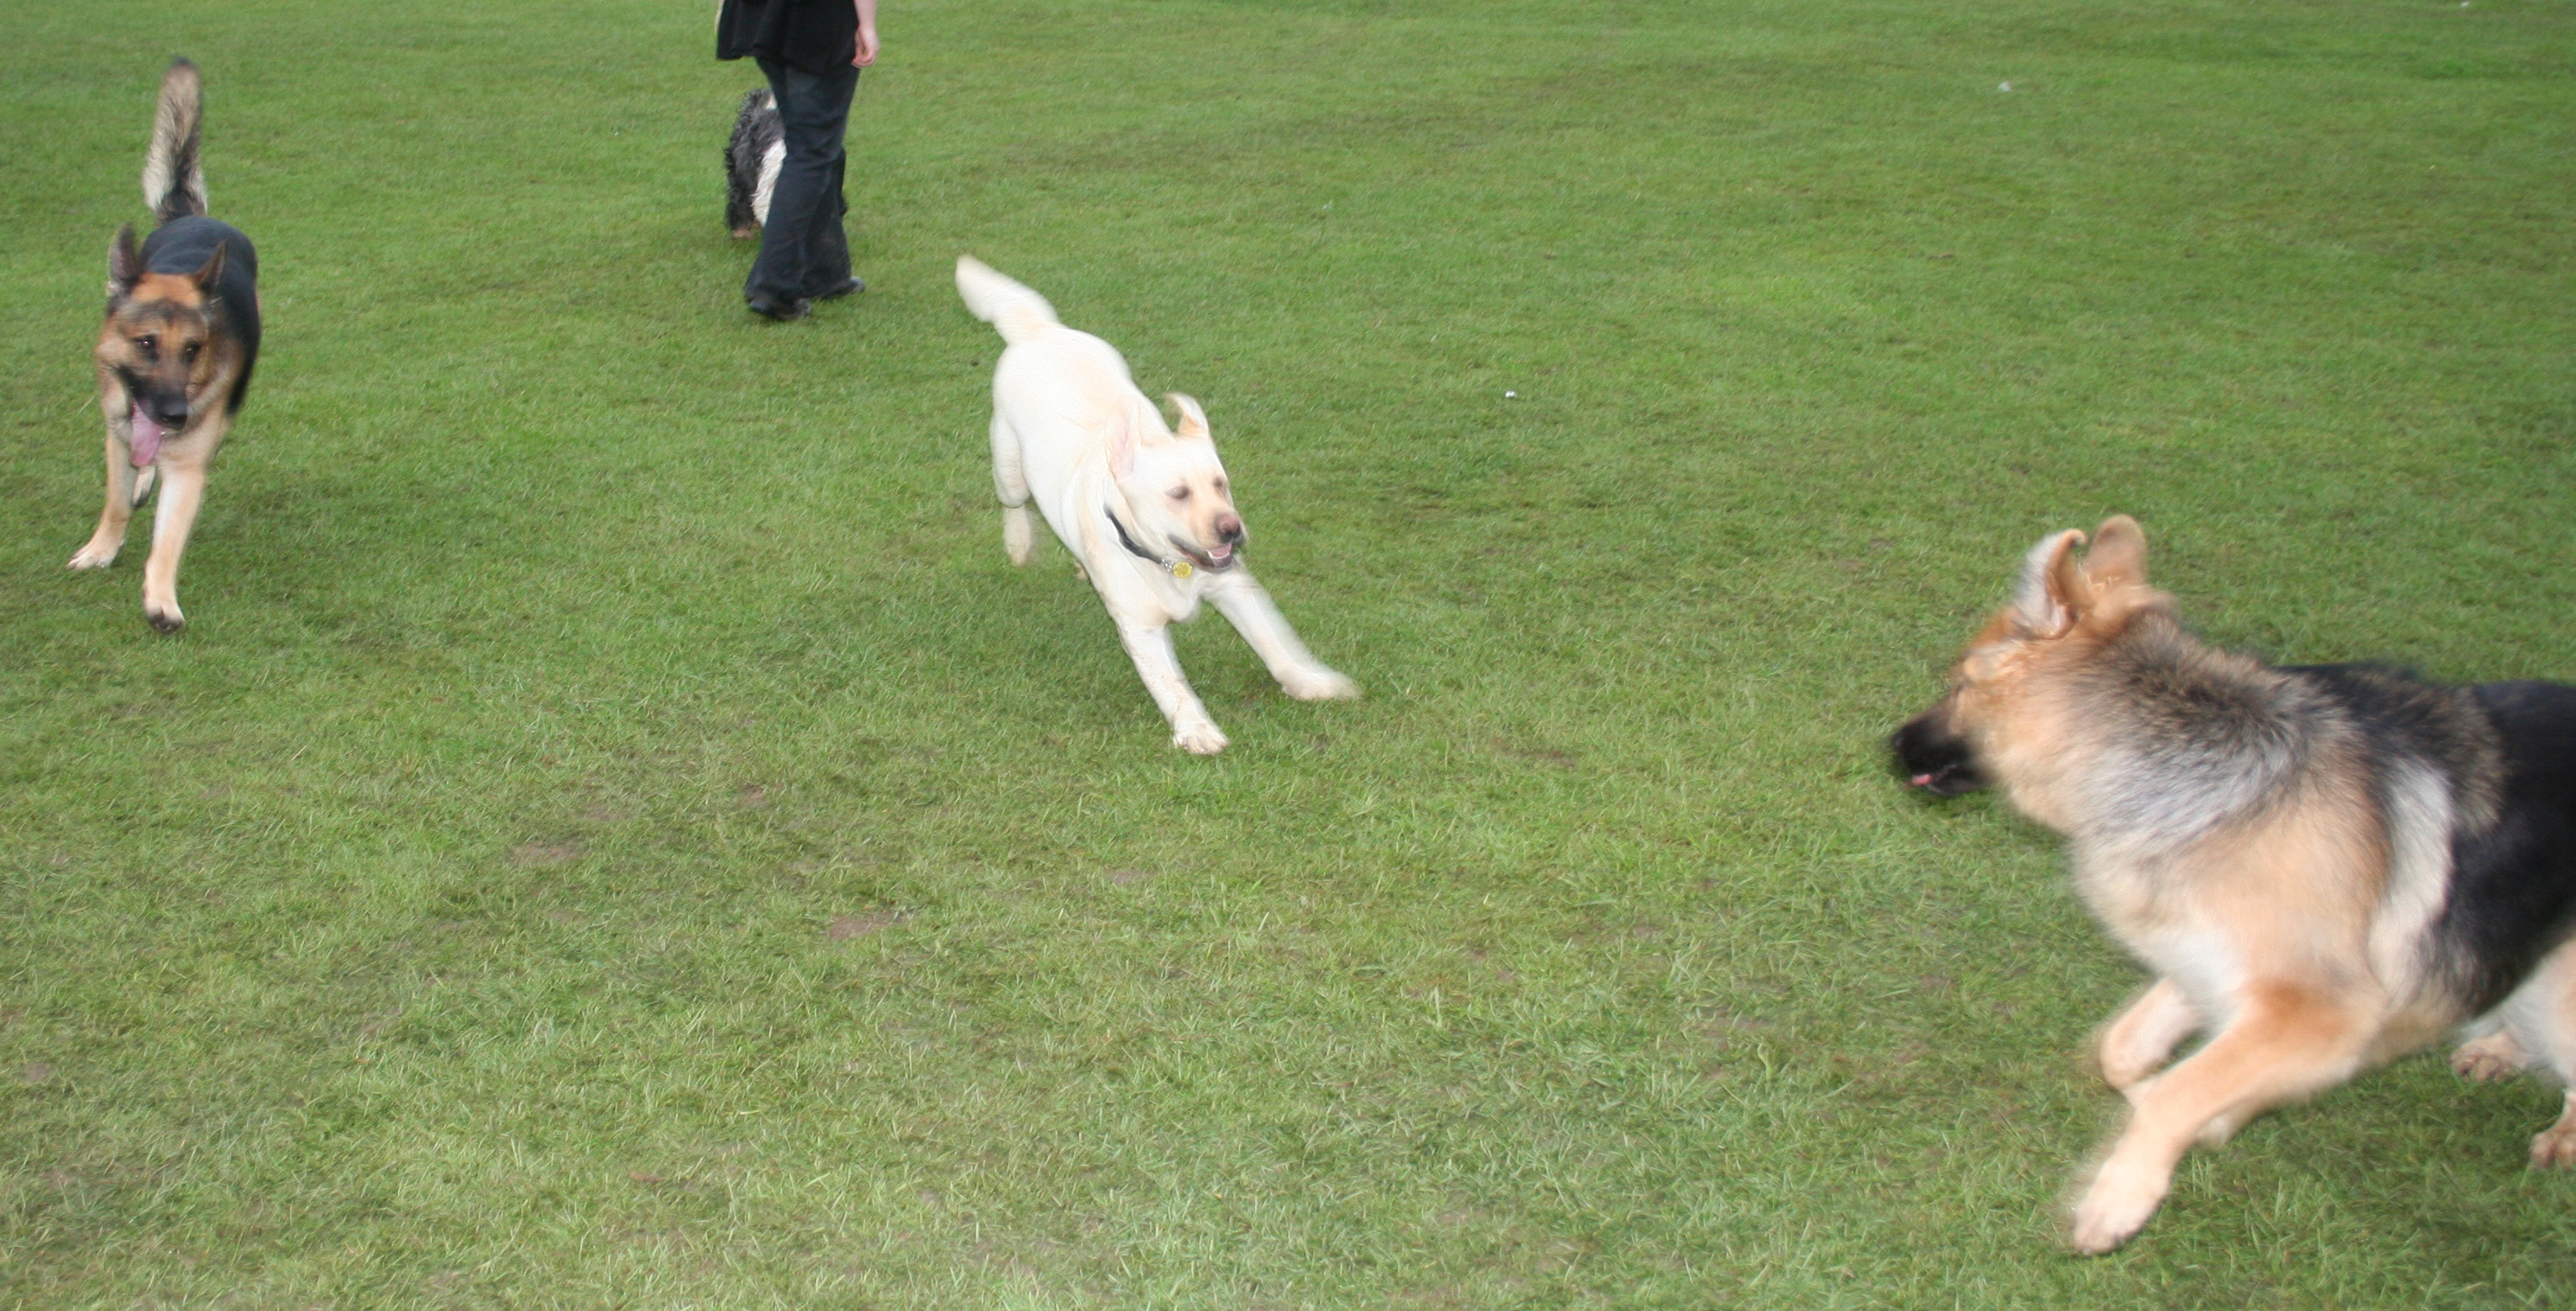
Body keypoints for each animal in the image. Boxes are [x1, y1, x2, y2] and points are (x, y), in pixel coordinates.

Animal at [71, 58, 261, 630]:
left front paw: (160, 598)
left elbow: (168, 539)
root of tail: (188, 215)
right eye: (146, 343)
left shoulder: (188, 465)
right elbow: (115, 500)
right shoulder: (117, 432)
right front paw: (102, 548)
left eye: (194, 350)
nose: (177, 414)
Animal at [958, 255, 1360, 752]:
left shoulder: (1236, 586)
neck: (1173, 564)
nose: (1233, 530)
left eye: (1221, 484)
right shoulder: (1142, 628)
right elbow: (1172, 684)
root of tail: (1039, 329)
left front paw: (1309, 681)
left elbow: (1274, 640)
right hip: (1009, 468)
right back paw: (1017, 543)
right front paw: (1196, 729)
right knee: (1014, 505)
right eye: (1178, 494)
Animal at [1895, 515, 2576, 1251]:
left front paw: (2118, 1196)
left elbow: (2179, 1091)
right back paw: (2499, 1050)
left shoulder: (2320, 1007)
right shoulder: (2206, 960)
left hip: (2560, 993)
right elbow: (2126, 1054)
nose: (1892, 744)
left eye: (1960, 683)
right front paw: (2199, 1114)